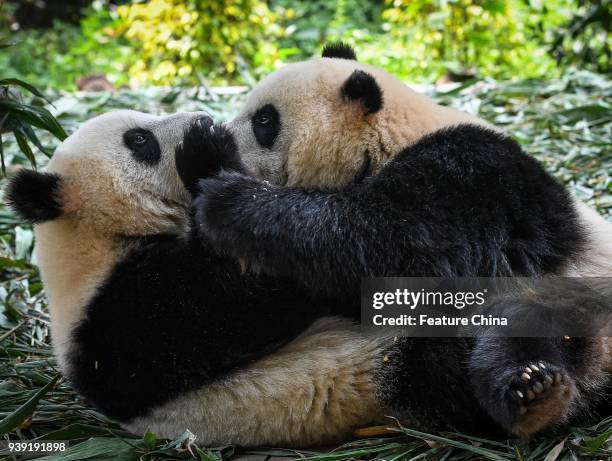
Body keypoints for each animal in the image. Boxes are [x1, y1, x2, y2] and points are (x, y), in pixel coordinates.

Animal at [175, 43, 608, 438]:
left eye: (265, 120)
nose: (224, 131)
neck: (393, 135)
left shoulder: (476, 174)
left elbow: (388, 247)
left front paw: (212, 170)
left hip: (568, 291)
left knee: (517, 330)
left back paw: (534, 390)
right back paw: (532, 394)